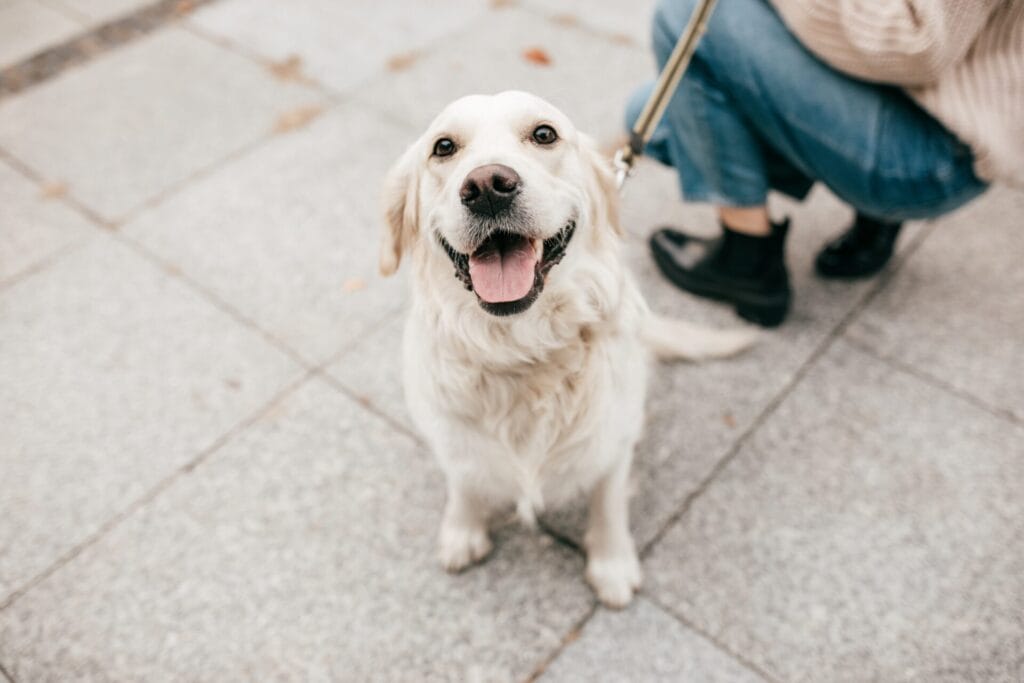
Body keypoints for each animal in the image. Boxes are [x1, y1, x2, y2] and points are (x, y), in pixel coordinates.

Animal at [380, 92, 757, 610]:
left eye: (544, 134)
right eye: (443, 147)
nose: (487, 186)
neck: (522, 350)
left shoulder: (615, 439)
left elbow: (608, 502)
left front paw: (612, 563)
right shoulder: (452, 435)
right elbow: (464, 480)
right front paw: (462, 530)